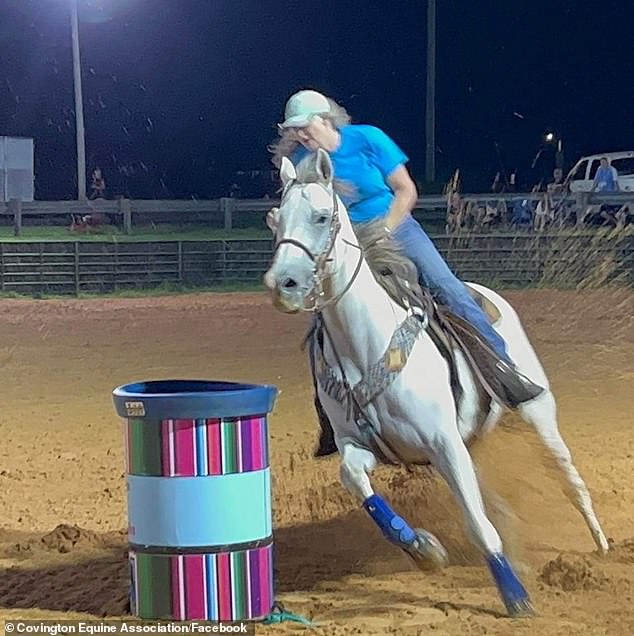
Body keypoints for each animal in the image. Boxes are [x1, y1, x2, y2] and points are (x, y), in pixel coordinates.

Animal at [262, 149, 608, 616]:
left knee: (566, 474)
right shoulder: (364, 445)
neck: (365, 346)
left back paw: (599, 544)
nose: (283, 284)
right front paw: (425, 550)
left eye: (320, 216)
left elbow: (478, 525)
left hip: (537, 413)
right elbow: (355, 478)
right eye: (276, 220)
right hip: (470, 441)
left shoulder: (443, 442)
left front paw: (515, 597)